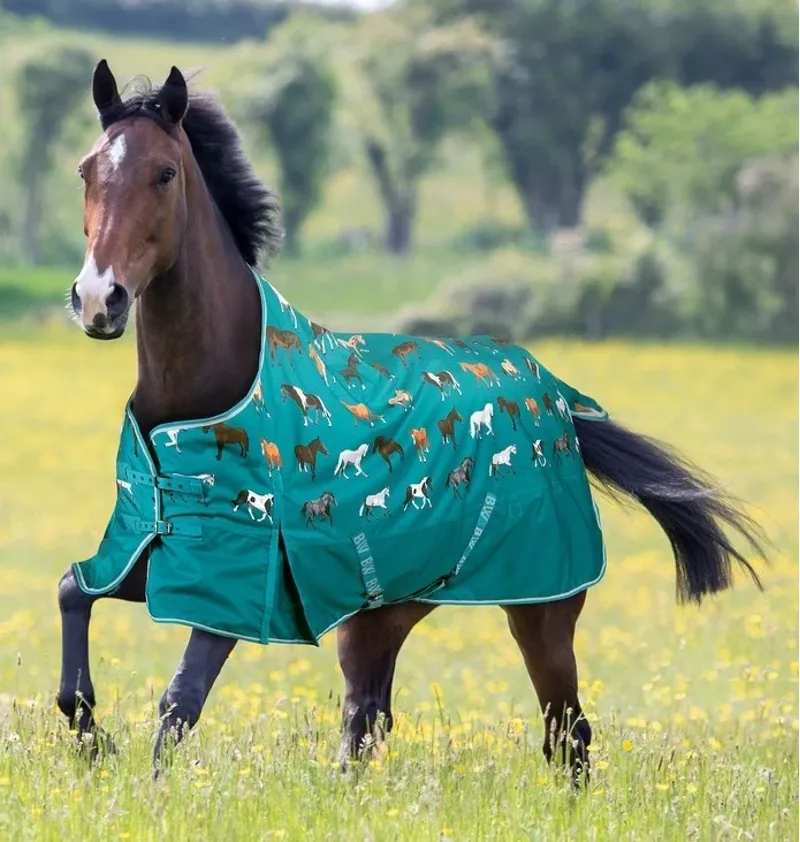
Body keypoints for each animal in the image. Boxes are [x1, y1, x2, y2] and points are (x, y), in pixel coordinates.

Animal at [60, 61, 764, 787]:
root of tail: (560, 403)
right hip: (382, 612)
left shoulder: (239, 576)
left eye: (165, 173)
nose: (99, 299)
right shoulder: (150, 544)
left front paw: (144, 784)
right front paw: (88, 736)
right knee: (368, 720)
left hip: (539, 609)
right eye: (86, 169)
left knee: (566, 731)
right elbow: (73, 592)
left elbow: (181, 699)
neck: (207, 388)